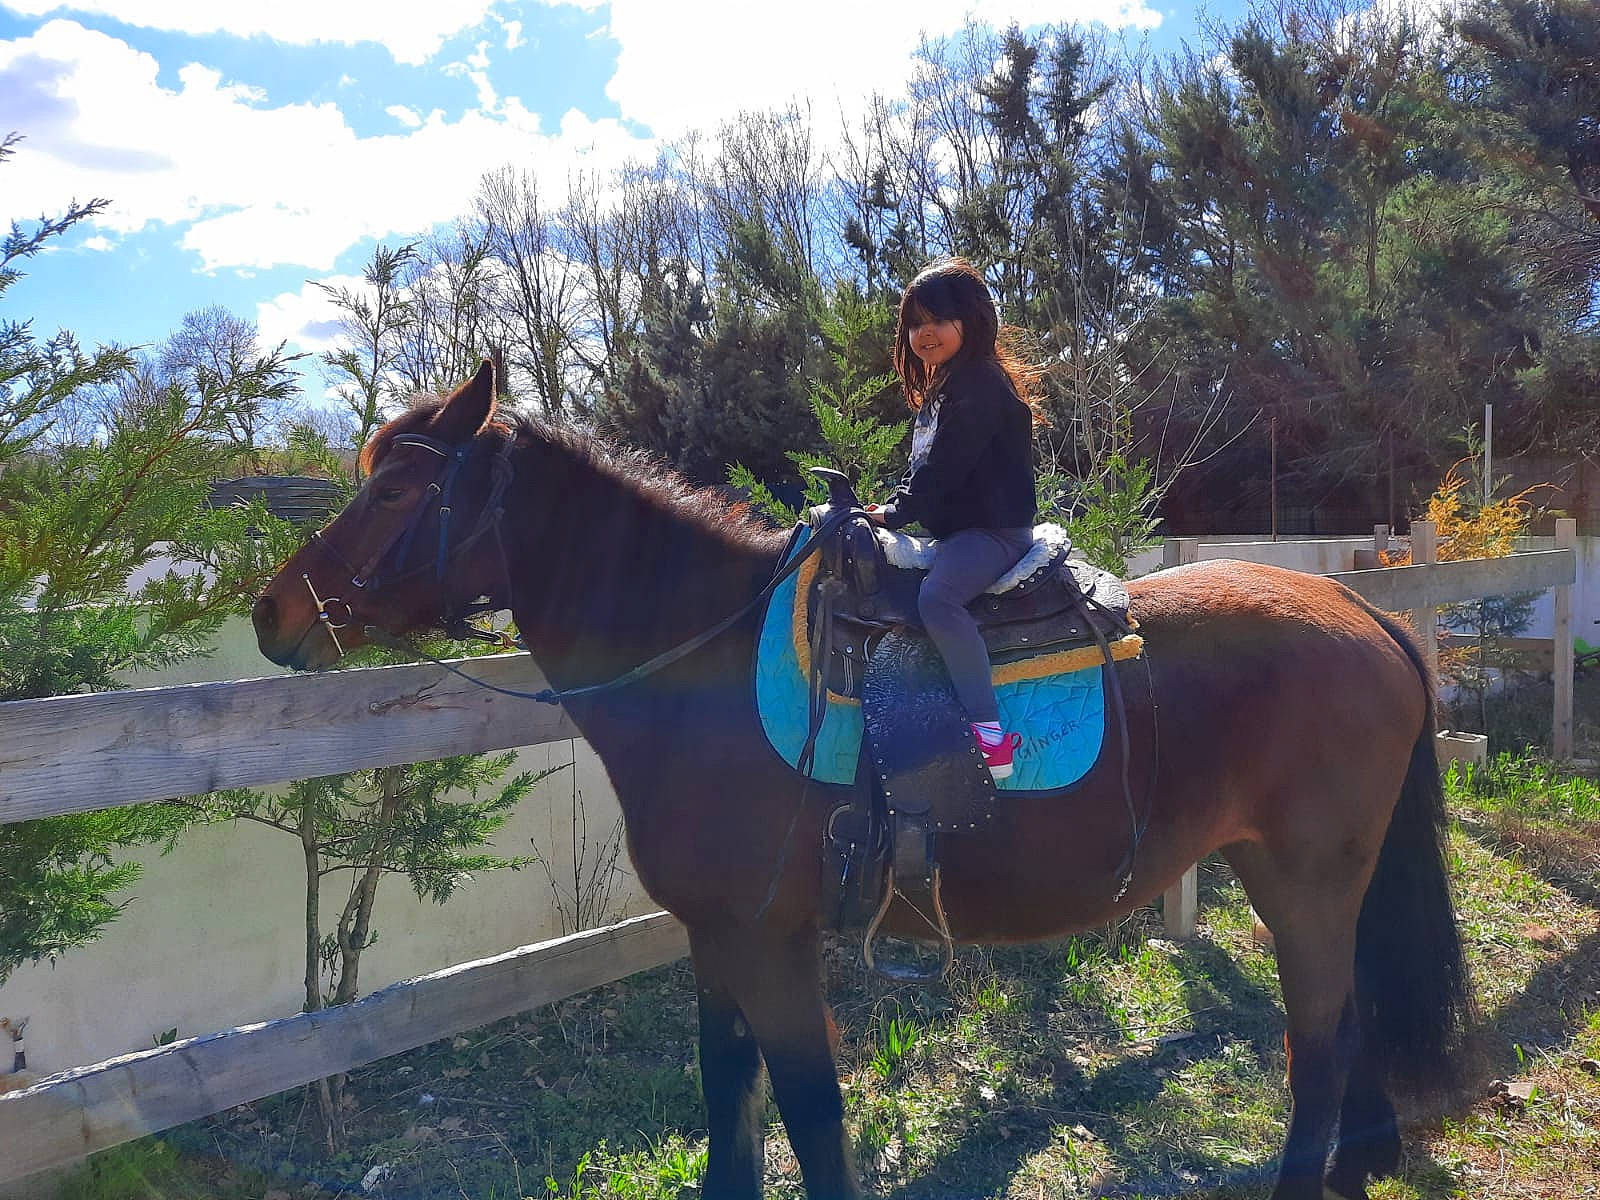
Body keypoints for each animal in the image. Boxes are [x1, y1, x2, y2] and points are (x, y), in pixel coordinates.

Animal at [251, 361, 1473, 1200]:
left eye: (394, 493)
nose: (271, 614)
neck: (701, 664)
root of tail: (1360, 608)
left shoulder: (772, 947)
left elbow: (810, 1117)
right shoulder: (717, 941)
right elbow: (730, 1102)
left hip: (1304, 881)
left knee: (1320, 1040)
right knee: (1348, 1020)